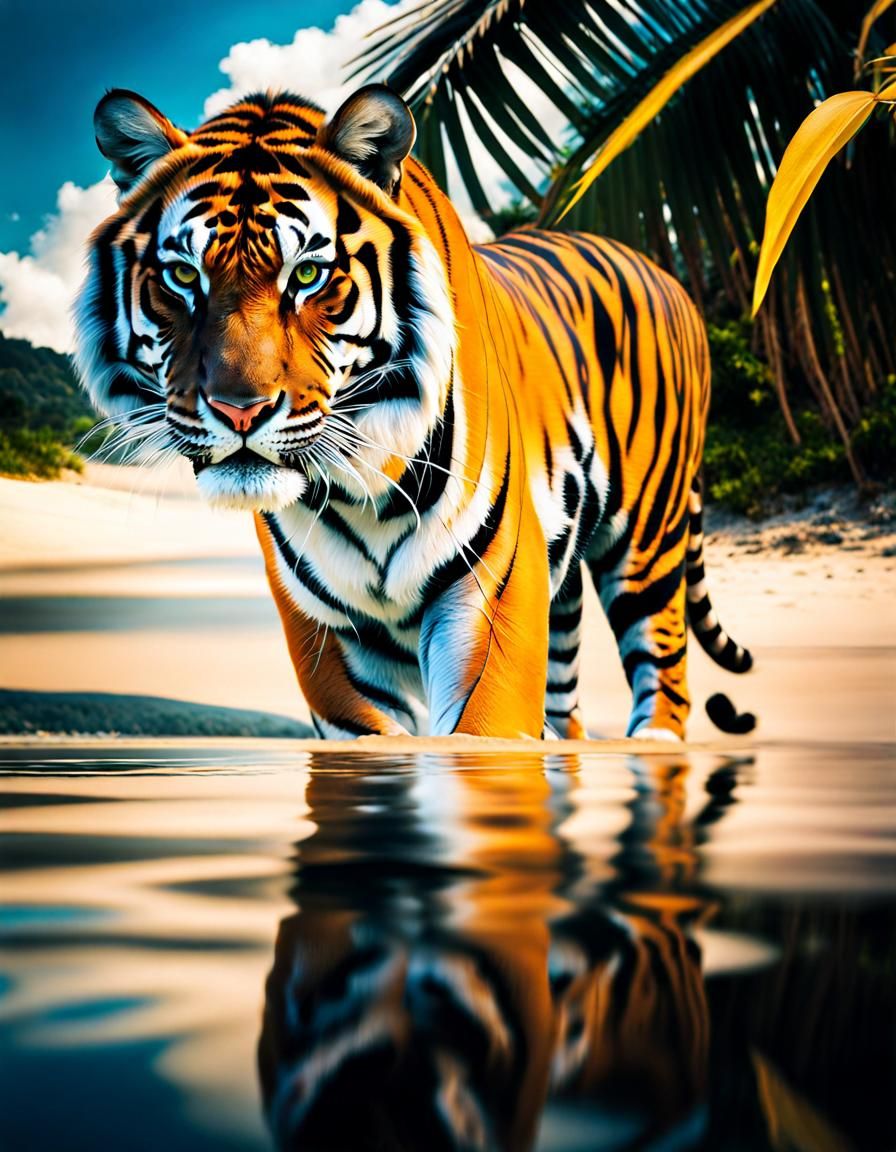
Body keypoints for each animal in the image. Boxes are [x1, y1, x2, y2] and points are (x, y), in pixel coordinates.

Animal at [73, 82, 753, 741]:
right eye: (183, 276)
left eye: (309, 275)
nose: (240, 411)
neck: (359, 488)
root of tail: (664, 273)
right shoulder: (325, 638)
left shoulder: (492, 593)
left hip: (649, 541)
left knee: (666, 675)